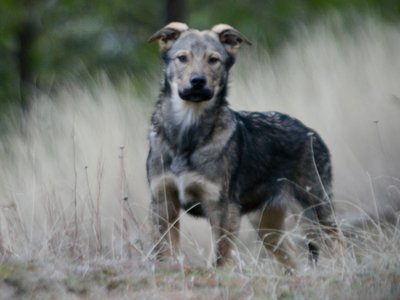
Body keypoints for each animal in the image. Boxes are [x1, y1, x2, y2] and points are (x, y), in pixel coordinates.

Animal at [146, 21, 340, 270]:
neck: (187, 136)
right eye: (182, 58)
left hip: (313, 211)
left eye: (213, 60)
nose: (197, 81)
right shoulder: (163, 201)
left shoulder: (221, 207)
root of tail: (312, 133)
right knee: (291, 258)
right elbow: (164, 251)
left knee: (338, 244)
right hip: (267, 226)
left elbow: (220, 257)